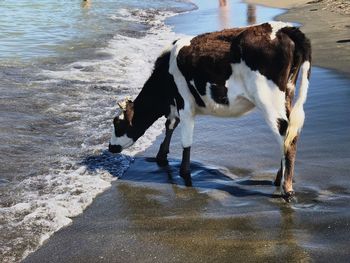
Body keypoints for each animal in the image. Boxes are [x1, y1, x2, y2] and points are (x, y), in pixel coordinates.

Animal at [109, 21, 312, 201]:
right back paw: (278, 179)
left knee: (287, 137)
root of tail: (285, 28)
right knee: (289, 135)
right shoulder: (175, 106)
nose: (110, 147)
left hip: (269, 99)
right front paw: (161, 156)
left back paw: (286, 189)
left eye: (117, 124)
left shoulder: (184, 103)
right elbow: (170, 125)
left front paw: (184, 173)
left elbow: (185, 140)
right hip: (287, 94)